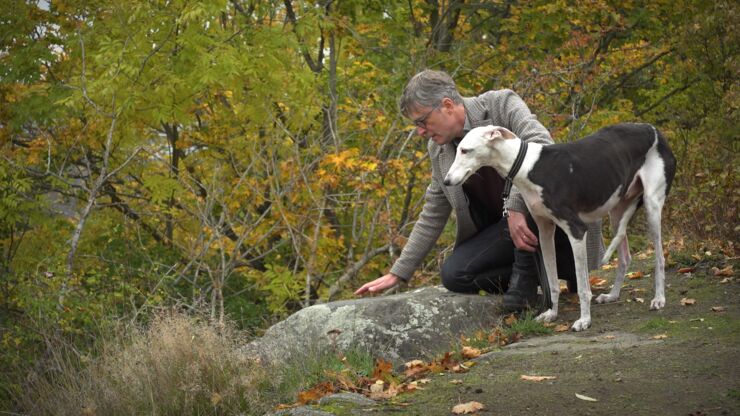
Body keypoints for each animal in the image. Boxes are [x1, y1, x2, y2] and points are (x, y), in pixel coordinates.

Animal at [446, 123, 676, 332]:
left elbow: (583, 287)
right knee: (626, 257)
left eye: (465, 150)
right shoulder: (544, 232)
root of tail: (653, 129)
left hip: (652, 206)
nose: (447, 181)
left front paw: (584, 320)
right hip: (617, 211)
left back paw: (659, 299)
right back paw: (612, 295)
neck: (527, 167)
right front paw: (551, 314)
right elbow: (552, 282)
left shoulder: (576, 230)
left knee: (660, 257)